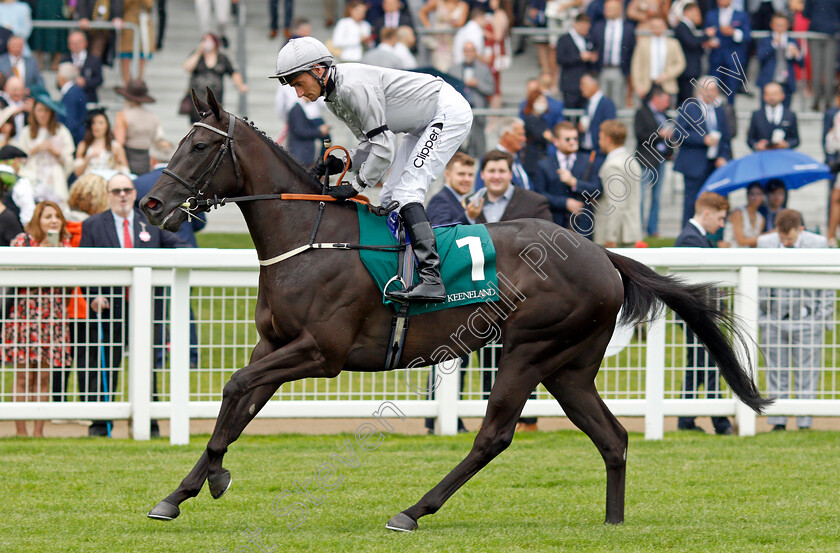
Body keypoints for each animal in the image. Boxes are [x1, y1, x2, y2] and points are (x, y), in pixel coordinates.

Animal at [141, 89, 772, 532]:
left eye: (199, 146)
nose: (150, 203)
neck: (309, 235)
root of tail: (601, 253)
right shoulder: (275, 345)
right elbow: (239, 407)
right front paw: (179, 493)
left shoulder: (320, 353)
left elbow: (232, 390)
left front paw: (213, 477)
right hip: (569, 367)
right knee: (612, 437)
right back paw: (613, 522)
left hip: (529, 350)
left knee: (493, 435)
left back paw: (413, 510)